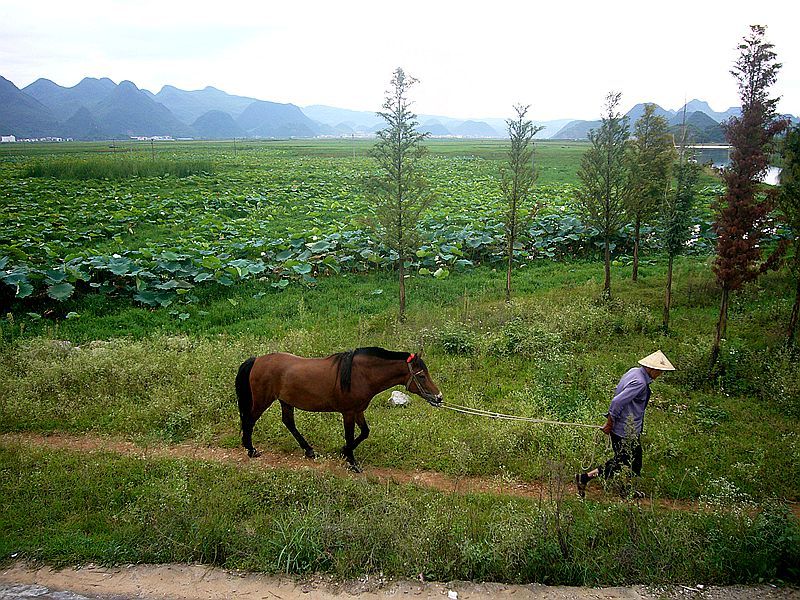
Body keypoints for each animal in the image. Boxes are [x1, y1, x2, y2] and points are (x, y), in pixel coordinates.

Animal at [234, 350, 444, 472]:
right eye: (422, 376)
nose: (439, 397)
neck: (360, 374)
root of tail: (256, 360)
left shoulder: (358, 410)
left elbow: (364, 432)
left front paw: (344, 452)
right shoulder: (349, 412)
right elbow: (350, 436)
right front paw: (351, 461)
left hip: (286, 401)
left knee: (288, 422)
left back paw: (309, 450)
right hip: (263, 400)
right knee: (250, 420)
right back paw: (251, 449)